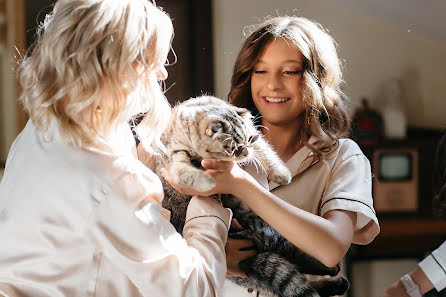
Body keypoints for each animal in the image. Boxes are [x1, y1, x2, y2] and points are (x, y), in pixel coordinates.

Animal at [155, 96, 350, 296]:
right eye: (234, 148)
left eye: (249, 139)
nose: (246, 152)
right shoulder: (176, 156)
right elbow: (184, 172)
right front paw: (205, 181)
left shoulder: (255, 135)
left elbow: (266, 152)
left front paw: (281, 174)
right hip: (260, 249)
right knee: (293, 261)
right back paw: (332, 275)